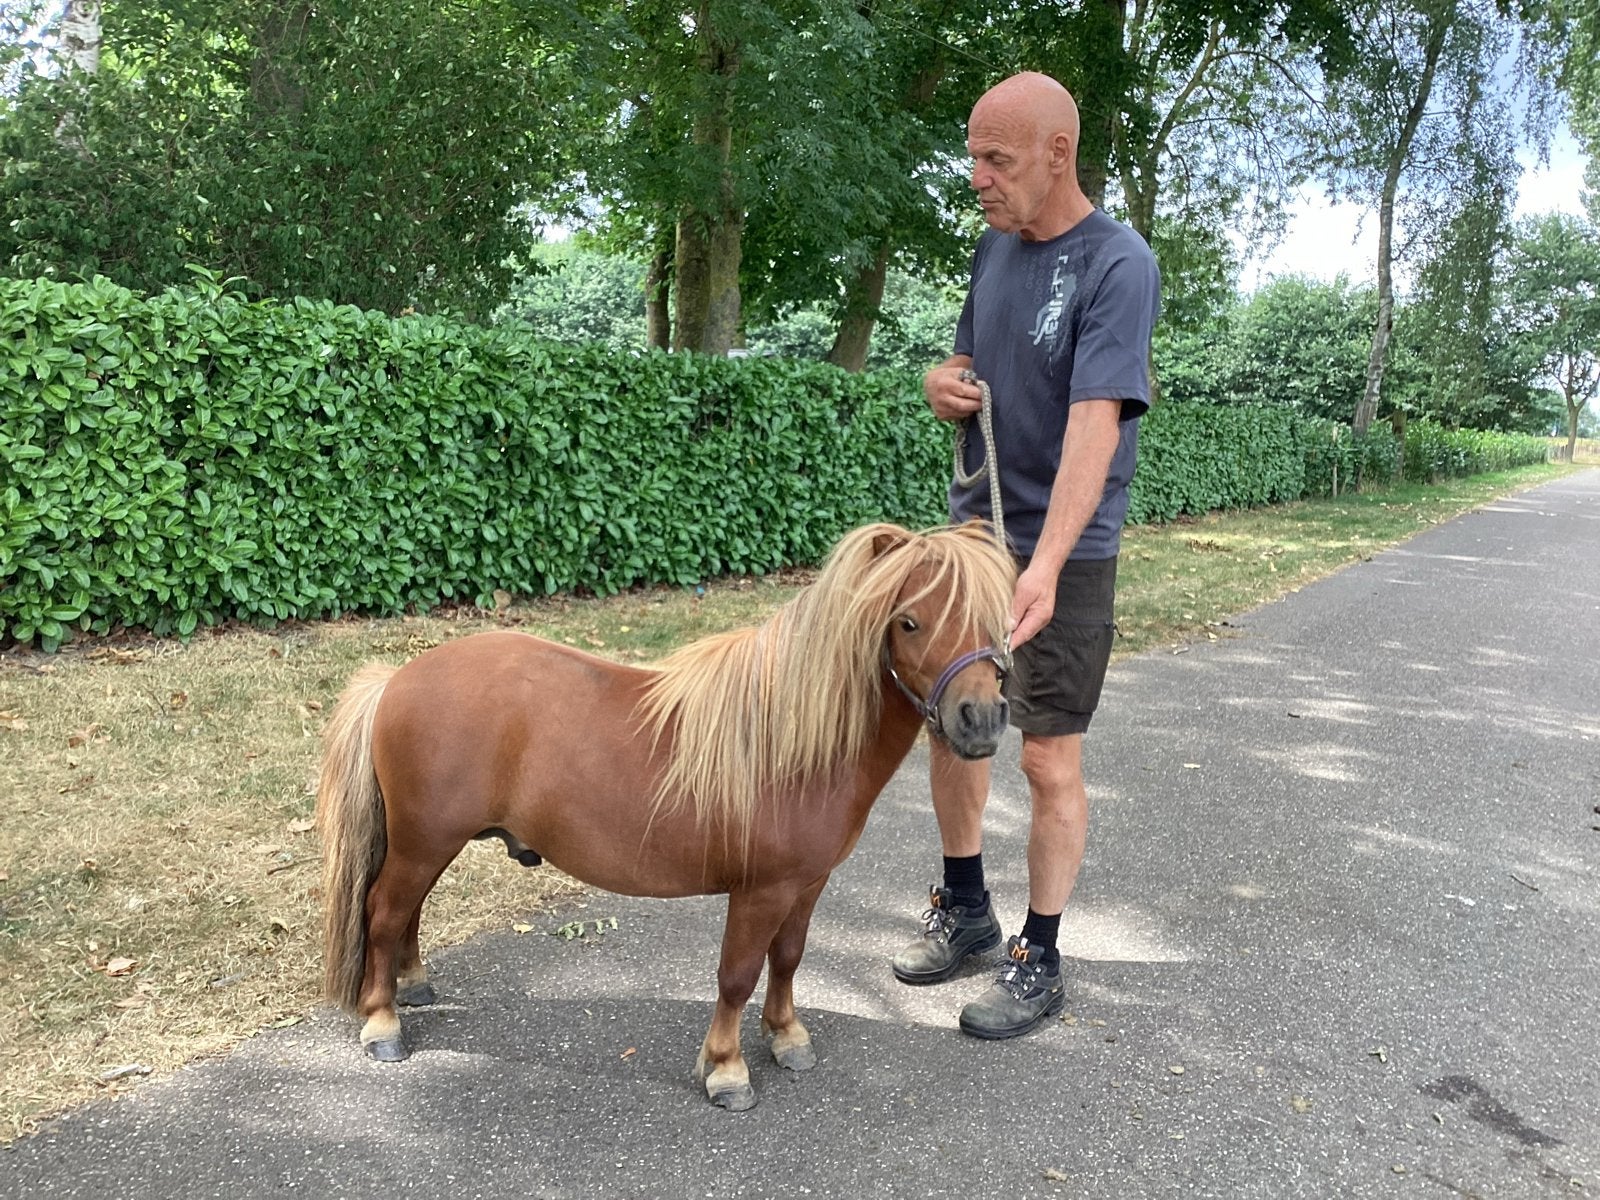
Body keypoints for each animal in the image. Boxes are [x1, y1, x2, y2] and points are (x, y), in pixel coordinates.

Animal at [315, 520, 1015, 1111]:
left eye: (997, 620)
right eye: (909, 622)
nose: (981, 720)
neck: (787, 741)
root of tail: (395, 680)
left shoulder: (807, 884)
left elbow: (788, 959)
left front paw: (786, 1036)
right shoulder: (760, 892)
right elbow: (737, 975)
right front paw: (727, 1069)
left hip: (430, 843)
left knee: (406, 913)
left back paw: (411, 984)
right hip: (423, 841)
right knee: (384, 912)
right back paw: (382, 1020)